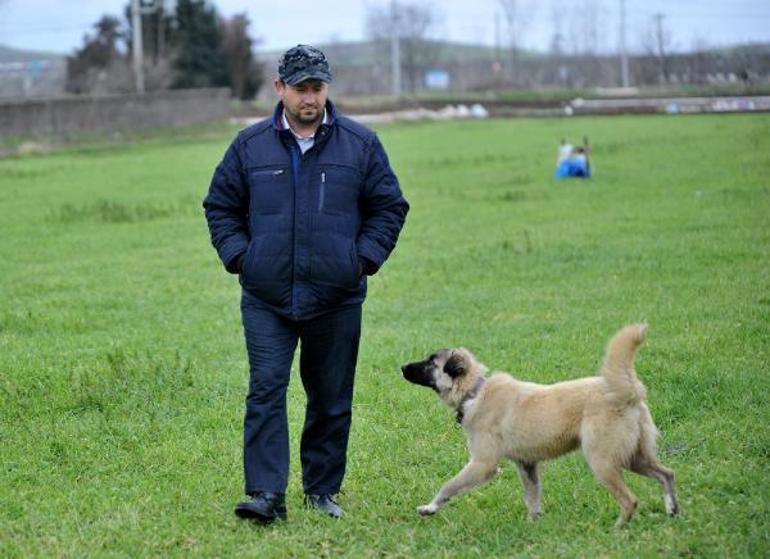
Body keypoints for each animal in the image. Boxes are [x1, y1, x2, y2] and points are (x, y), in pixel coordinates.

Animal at [400, 324, 676, 524]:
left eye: (431, 362)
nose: (401, 366)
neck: (475, 392)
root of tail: (629, 393)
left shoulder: (482, 464)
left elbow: (449, 486)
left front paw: (429, 508)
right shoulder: (527, 464)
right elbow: (532, 498)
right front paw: (534, 523)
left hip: (603, 461)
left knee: (630, 500)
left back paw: (619, 528)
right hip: (634, 456)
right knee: (666, 474)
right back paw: (672, 510)